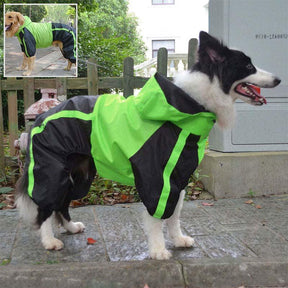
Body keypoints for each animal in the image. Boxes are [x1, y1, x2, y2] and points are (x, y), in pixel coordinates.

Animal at [14, 32, 280, 260]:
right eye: (248, 67)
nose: (278, 79)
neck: (190, 104)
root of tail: (40, 117)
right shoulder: (154, 175)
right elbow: (156, 216)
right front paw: (158, 250)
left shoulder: (178, 175)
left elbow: (175, 213)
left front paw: (178, 239)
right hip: (52, 170)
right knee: (45, 204)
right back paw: (49, 241)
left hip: (80, 175)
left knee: (62, 201)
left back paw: (70, 227)